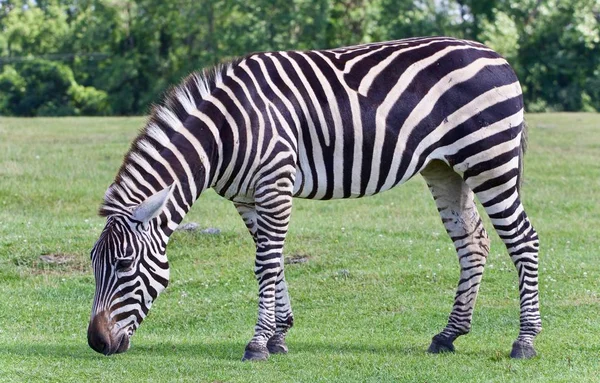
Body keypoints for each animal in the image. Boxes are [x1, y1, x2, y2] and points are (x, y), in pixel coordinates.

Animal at [86, 35, 540, 360]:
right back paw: (448, 335)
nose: (96, 343)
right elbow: (272, 259)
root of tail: (498, 56)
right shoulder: (248, 198)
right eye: (94, 265)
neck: (224, 134)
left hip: (489, 160)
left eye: (124, 264)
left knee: (524, 239)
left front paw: (258, 344)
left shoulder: (275, 182)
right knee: (473, 242)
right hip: (445, 168)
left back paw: (525, 341)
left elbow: (265, 264)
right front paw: (278, 335)